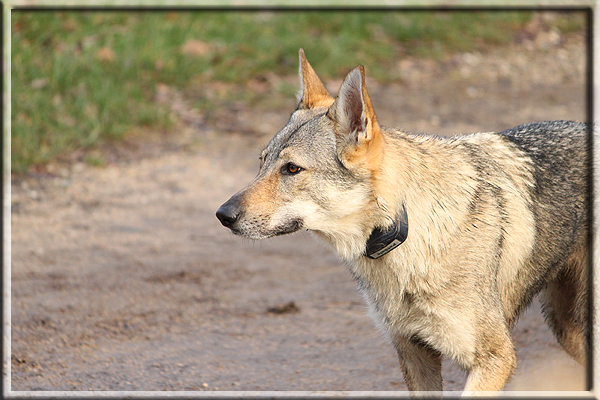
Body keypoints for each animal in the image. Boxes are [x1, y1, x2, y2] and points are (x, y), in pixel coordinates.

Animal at [214, 49, 584, 394]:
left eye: (291, 169)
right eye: (261, 162)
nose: (223, 215)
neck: (406, 231)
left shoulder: (496, 358)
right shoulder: (413, 351)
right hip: (566, 329)